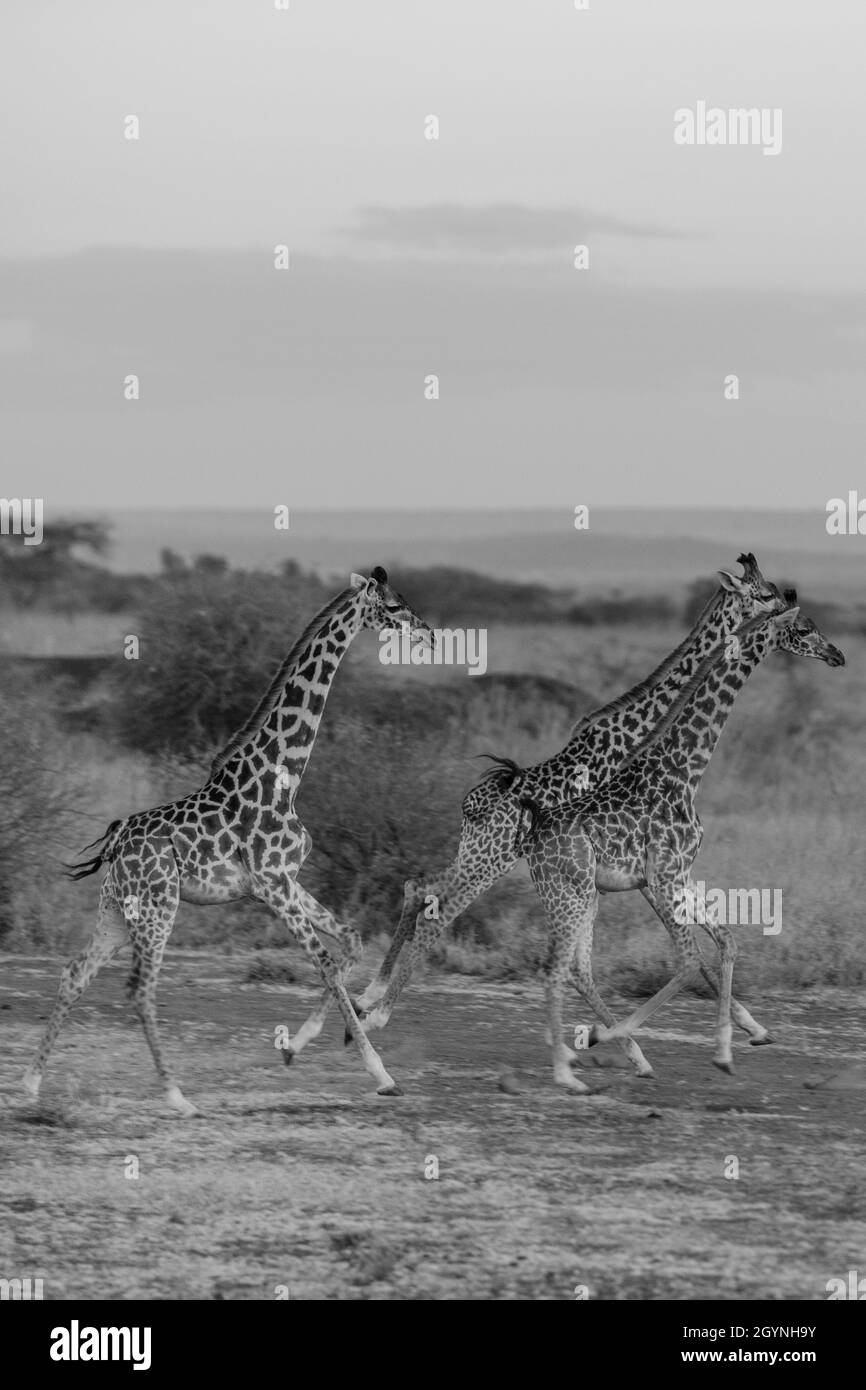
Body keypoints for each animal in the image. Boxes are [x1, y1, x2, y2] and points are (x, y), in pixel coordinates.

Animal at [22, 567, 433, 1117]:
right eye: (391, 607)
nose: (428, 634)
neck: (283, 774)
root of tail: (116, 844)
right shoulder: (274, 886)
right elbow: (326, 963)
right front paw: (381, 1073)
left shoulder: (283, 882)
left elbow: (349, 941)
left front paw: (301, 1043)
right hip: (159, 907)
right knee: (140, 990)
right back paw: (177, 1097)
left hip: (116, 911)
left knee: (74, 974)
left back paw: (30, 1084)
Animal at [354, 550, 795, 1034]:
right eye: (764, 593)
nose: (791, 607)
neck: (633, 734)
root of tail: (473, 801)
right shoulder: (640, 862)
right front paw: (743, 1023)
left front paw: (751, 1025)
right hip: (491, 860)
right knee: (439, 913)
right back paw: (378, 1012)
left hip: (475, 853)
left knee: (419, 888)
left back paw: (368, 995)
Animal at [522, 592, 845, 1089]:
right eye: (805, 629)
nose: (837, 655)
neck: (685, 771)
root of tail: (534, 837)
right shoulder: (662, 878)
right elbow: (691, 961)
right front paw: (603, 1035)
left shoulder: (681, 875)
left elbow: (727, 942)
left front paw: (727, 1050)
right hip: (568, 894)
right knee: (557, 967)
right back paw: (568, 1069)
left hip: (584, 896)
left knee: (576, 967)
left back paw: (604, 1056)